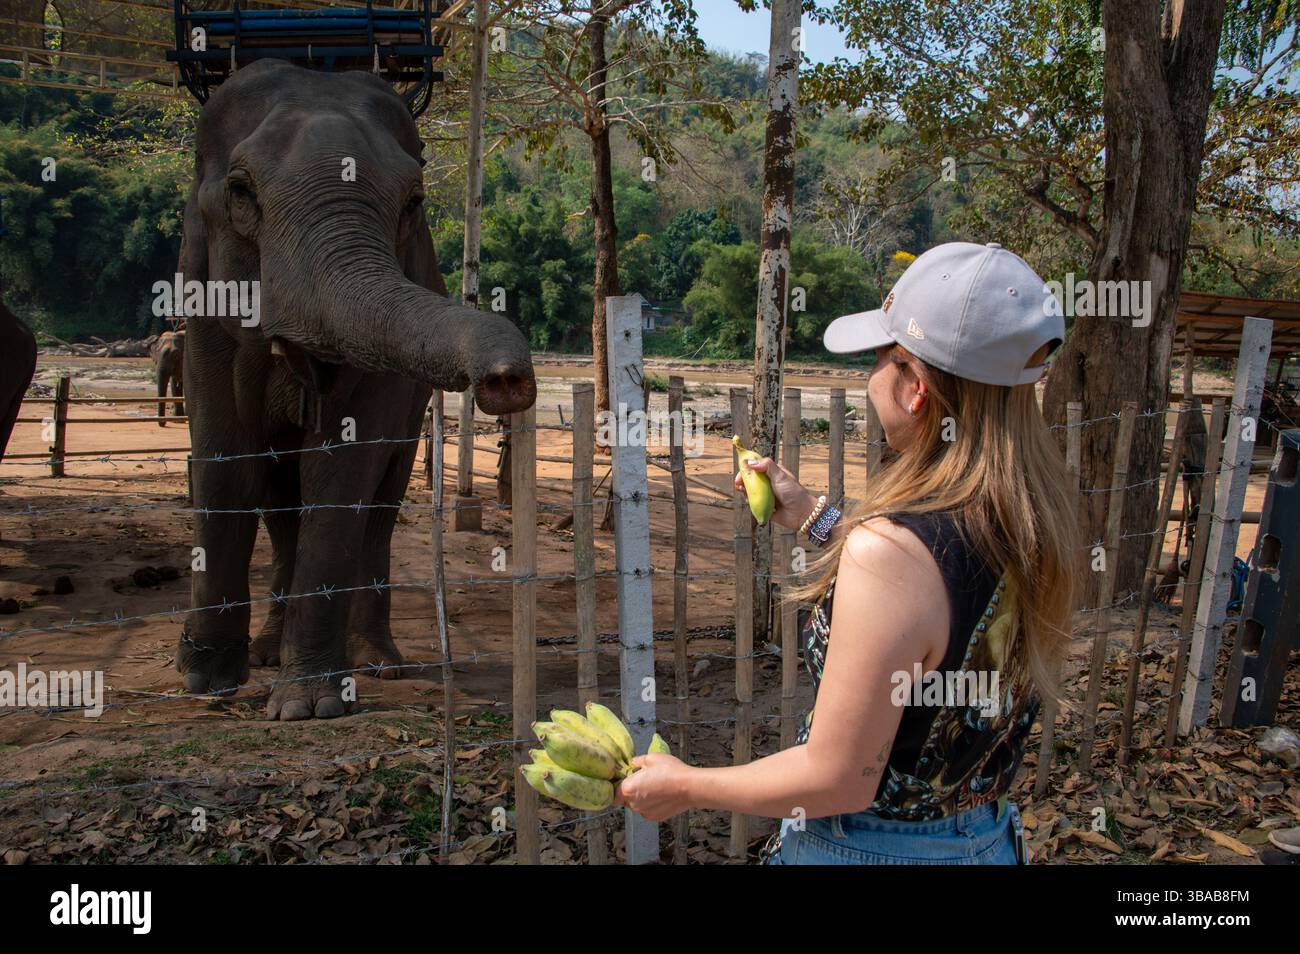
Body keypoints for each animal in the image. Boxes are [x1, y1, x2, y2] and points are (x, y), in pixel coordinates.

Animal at [176, 59, 535, 720]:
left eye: (414, 201)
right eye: (241, 192)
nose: (507, 379)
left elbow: (342, 471)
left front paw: (308, 706)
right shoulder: (202, 313)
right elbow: (224, 460)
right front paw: (205, 678)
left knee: (378, 506)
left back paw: (375, 663)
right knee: (280, 502)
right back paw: (268, 651)